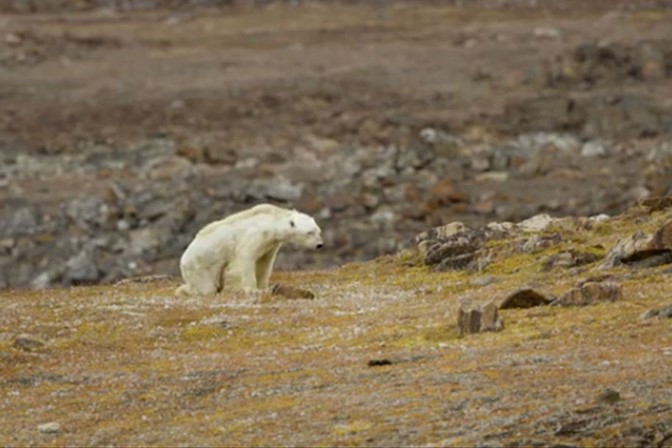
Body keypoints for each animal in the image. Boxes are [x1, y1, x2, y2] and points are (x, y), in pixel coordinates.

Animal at [173, 204, 320, 298]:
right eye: (310, 232)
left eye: (318, 231)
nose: (320, 244)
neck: (269, 222)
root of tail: (182, 259)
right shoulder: (254, 236)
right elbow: (245, 258)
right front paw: (253, 290)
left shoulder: (270, 244)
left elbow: (264, 263)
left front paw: (263, 288)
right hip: (200, 265)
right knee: (206, 287)